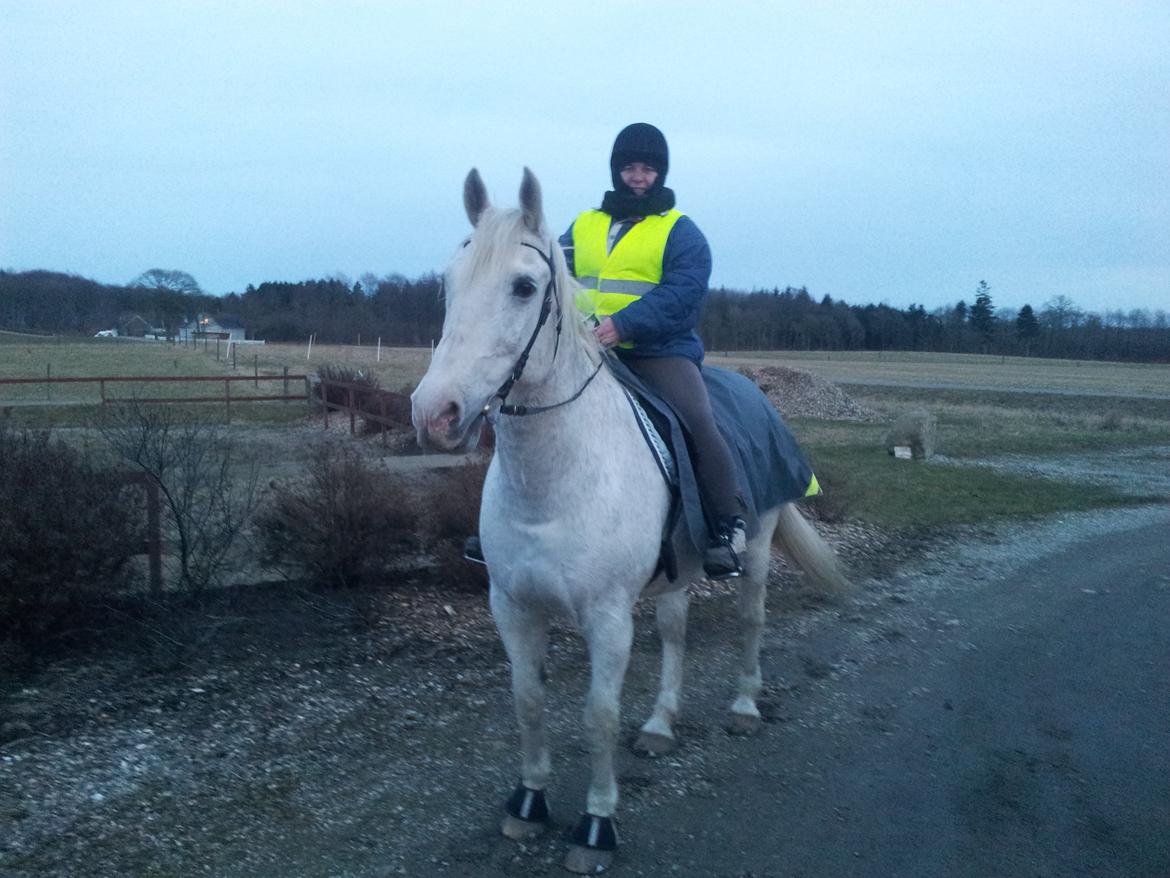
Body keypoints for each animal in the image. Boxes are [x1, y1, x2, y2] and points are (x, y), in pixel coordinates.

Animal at [411, 169, 842, 875]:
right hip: (677, 572)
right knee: (675, 631)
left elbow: (599, 716)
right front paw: (528, 803)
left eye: (523, 287)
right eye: (449, 282)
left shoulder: (608, 617)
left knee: (750, 620)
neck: (553, 483)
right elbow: (529, 702)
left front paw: (595, 825)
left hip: (757, 546)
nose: (435, 413)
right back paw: (661, 725)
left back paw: (744, 706)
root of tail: (756, 395)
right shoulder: (512, 606)